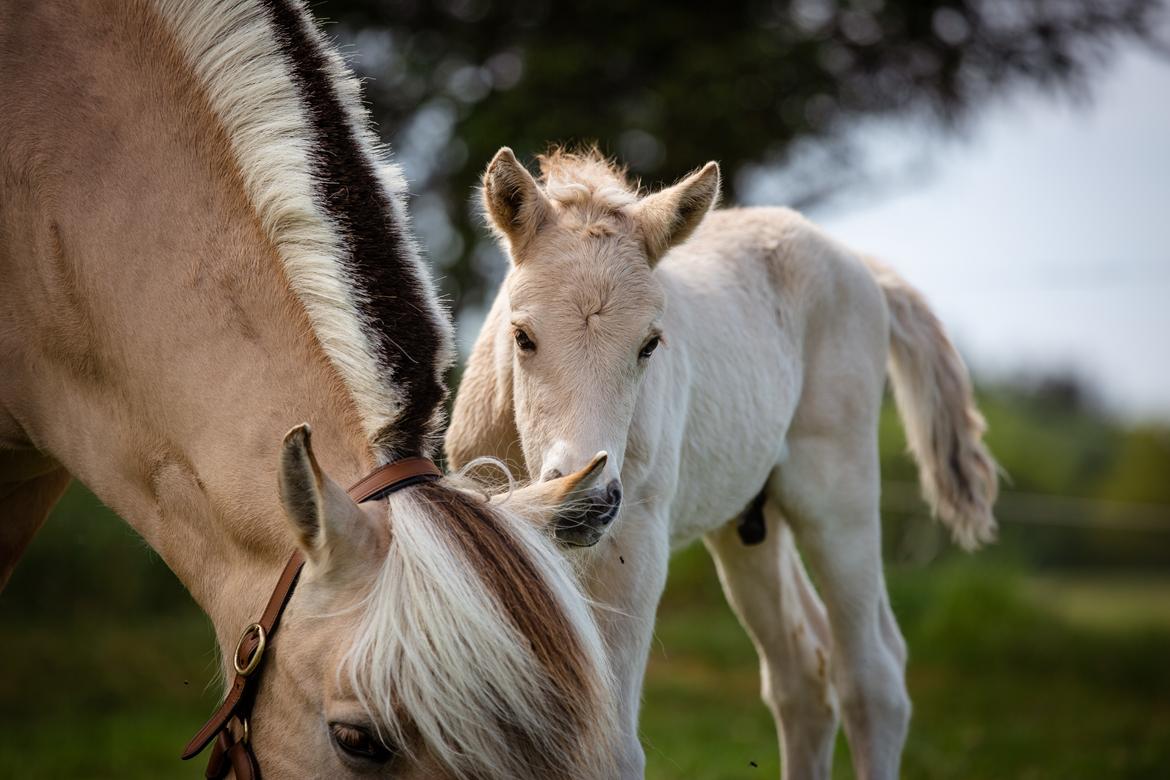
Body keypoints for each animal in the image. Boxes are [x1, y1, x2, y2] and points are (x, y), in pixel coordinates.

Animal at [444, 147, 996, 780]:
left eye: (650, 344)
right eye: (522, 336)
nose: (588, 501)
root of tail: (858, 264)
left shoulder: (633, 544)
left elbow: (613, 750)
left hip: (839, 497)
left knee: (872, 677)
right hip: (751, 525)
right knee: (802, 675)